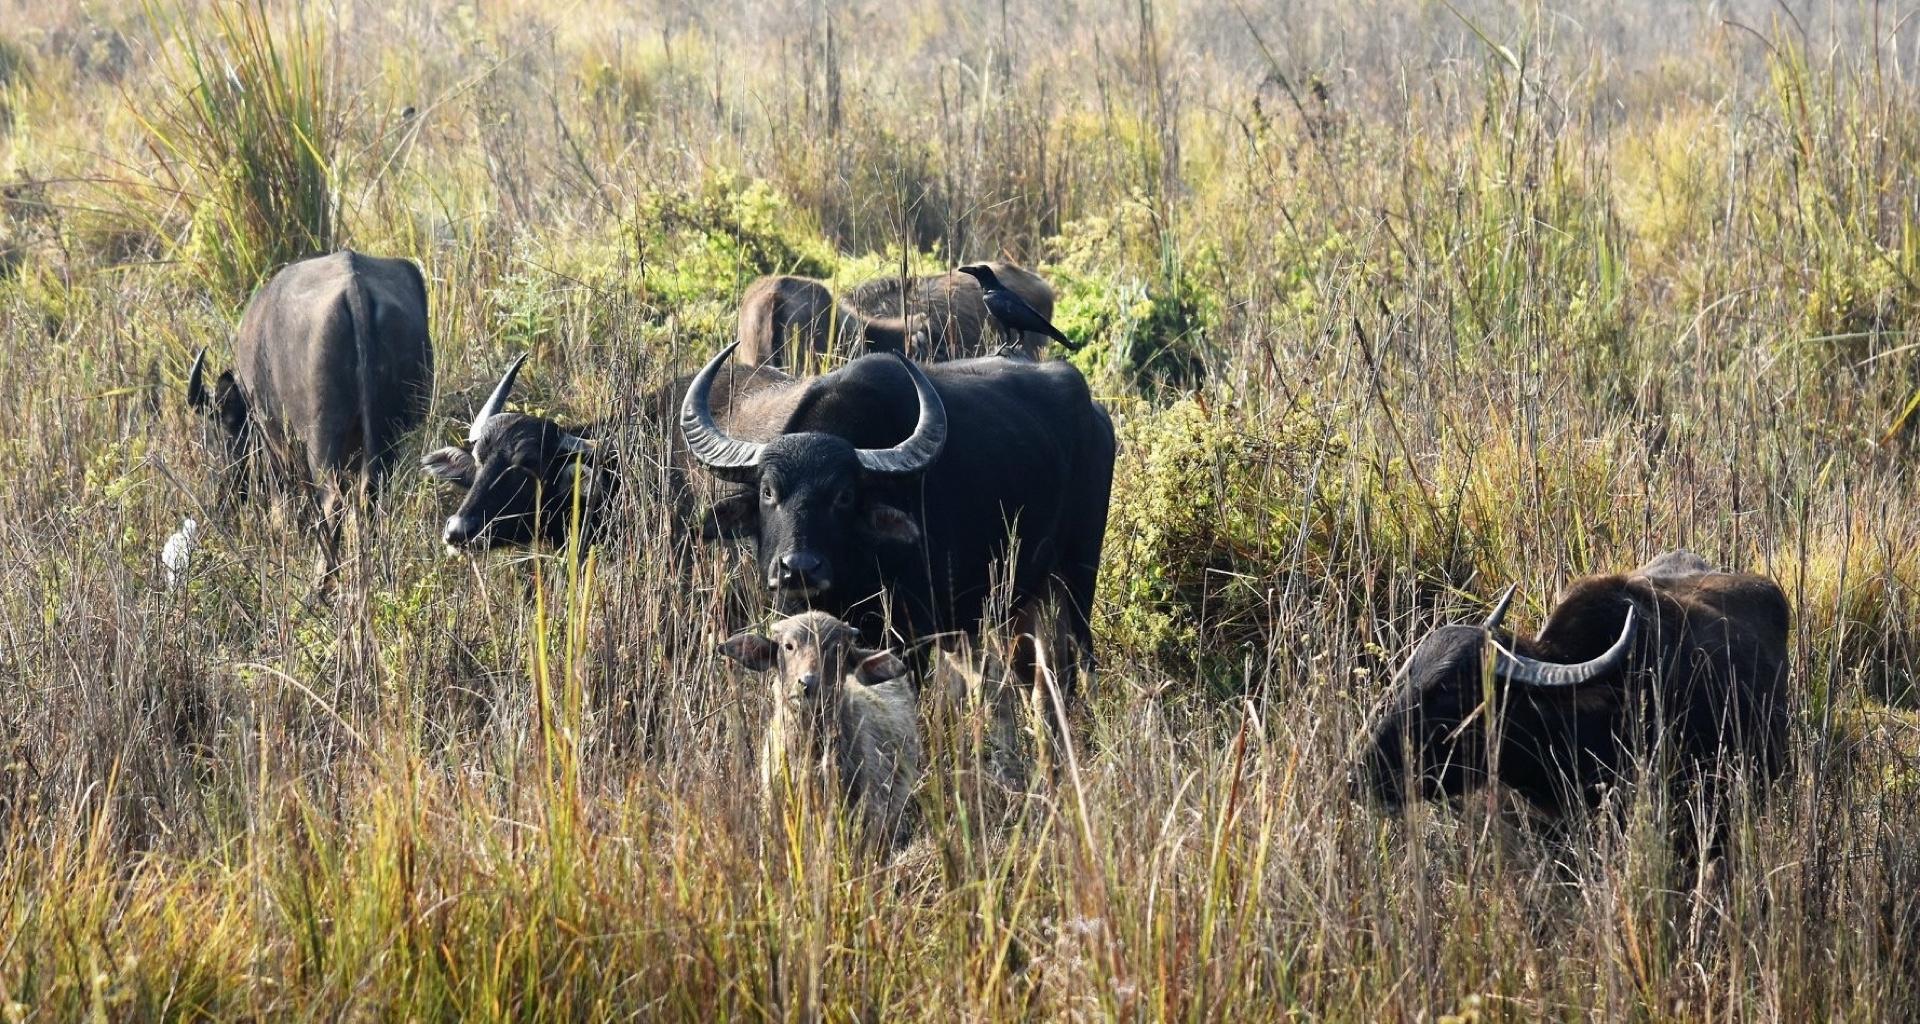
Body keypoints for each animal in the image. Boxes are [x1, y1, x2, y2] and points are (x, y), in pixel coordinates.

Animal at [186, 249, 435, 526]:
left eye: (217, 437)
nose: (219, 499)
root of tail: (355, 290)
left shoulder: (273, 442)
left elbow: (280, 506)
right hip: (390, 432)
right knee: (371, 492)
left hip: (321, 441)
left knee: (332, 500)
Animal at [687, 343, 1121, 695]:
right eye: (768, 492)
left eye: (844, 496)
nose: (799, 568)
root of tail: (1096, 416)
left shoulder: (911, 635)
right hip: (1021, 601)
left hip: (1077, 575)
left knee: (1078, 666)